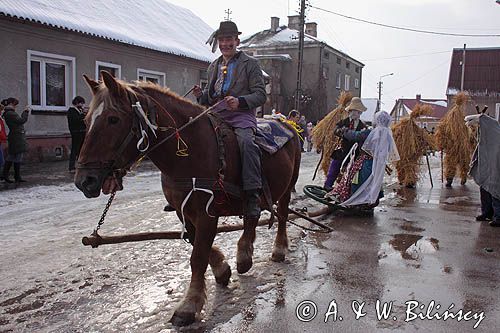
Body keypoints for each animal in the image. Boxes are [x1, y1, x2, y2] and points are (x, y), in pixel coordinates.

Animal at [74, 72, 300, 324]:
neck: (191, 151)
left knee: (282, 216)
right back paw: (244, 255)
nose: (84, 181)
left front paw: (189, 305)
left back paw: (278, 249)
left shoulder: (207, 213)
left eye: (113, 119)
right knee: (252, 218)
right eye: (86, 121)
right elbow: (197, 245)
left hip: (287, 188)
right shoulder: (184, 211)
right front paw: (222, 269)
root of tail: (285, 123)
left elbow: (198, 256)